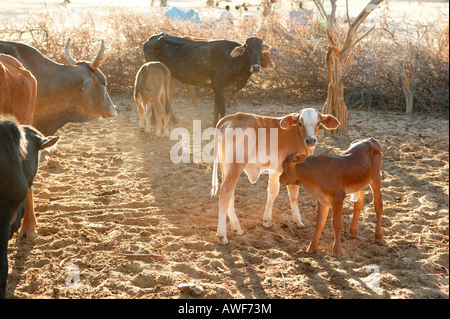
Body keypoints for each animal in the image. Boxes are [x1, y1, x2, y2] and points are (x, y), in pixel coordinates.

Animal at [213, 109, 340, 246]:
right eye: (300, 123)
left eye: (318, 123)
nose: (311, 140)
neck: (296, 134)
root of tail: (234, 116)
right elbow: (294, 195)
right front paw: (298, 221)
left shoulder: (274, 170)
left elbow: (272, 192)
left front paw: (266, 220)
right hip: (235, 166)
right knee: (226, 190)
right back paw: (222, 236)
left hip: (225, 166)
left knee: (230, 192)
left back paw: (236, 228)